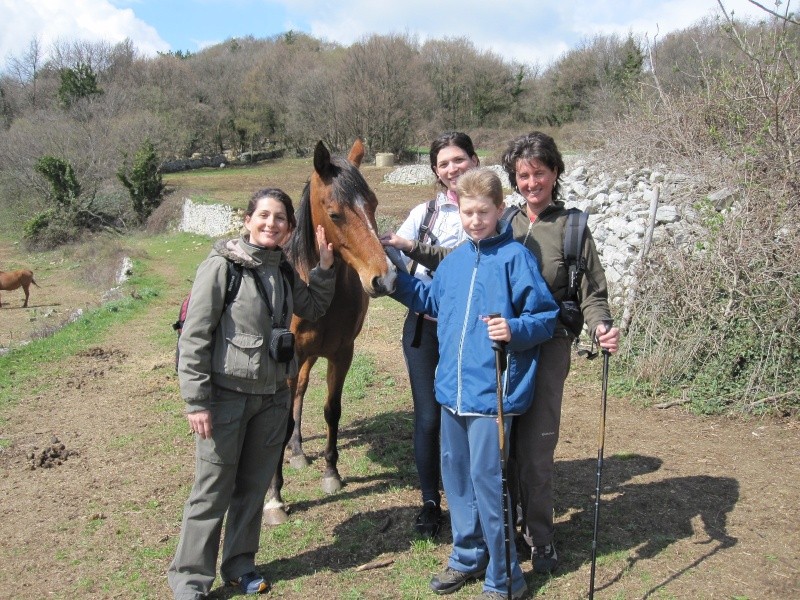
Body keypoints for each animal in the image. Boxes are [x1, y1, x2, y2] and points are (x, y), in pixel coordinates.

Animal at [264, 138, 398, 524]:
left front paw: (332, 473)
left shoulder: (341, 354)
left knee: (301, 393)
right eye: (335, 213)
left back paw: (297, 450)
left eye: (373, 204)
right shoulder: (289, 356)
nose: (384, 278)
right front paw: (275, 496)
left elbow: (331, 410)